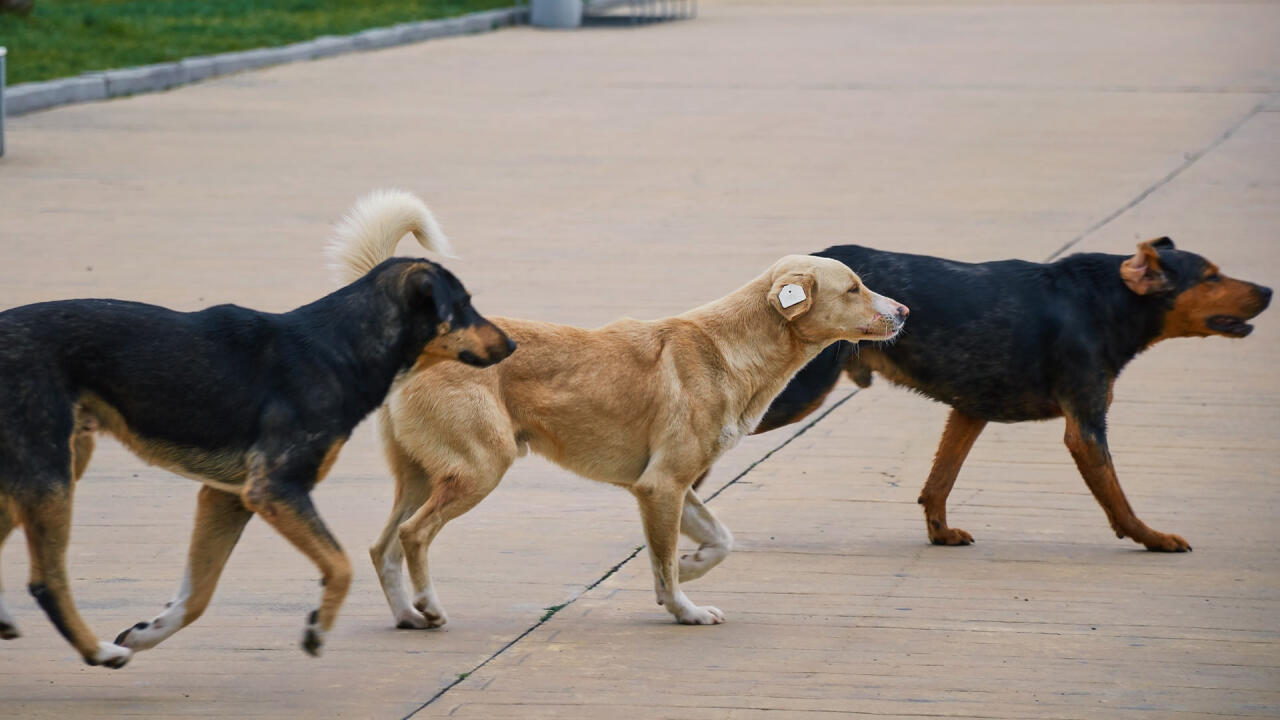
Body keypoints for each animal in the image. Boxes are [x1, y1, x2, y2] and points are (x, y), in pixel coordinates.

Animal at [0, 189, 512, 661]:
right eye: (464, 305)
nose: (510, 345)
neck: (339, 346)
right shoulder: (275, 489)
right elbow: (340, 564)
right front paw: (317, 627)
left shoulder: (225, 497)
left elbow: (197, 595)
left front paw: (147, 633)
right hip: (52, 476)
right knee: (45, 580)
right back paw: (97, 651)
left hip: (48, 467)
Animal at [330, 193, 911, 625]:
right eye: (854, 288)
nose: (905, 311)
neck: (730, 347)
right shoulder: (662, 485)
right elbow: (664, 564)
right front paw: (684, 607)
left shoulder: (669, 484)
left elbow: (717, 541)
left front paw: (692, 568)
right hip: (479, 468)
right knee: (413, 535)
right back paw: (428, 606)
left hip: (422, 475)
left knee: (382, 547)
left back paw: (407, 615)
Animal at [757, 239, 1269, 548]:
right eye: (1210, 277)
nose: (1268, 290)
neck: (1106, 300)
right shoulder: (1086, 427)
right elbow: (1118, 497)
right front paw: (1151, 538)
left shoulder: (970, 409)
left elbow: (939, 483)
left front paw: (941, 534)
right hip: (796, 395)